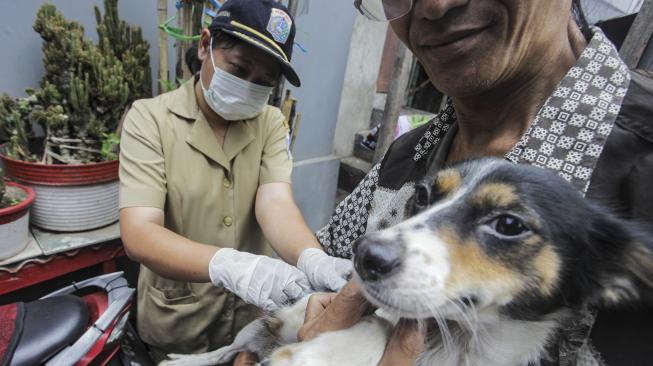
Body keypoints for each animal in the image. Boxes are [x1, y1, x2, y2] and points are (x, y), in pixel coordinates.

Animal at [162, 159, 652, 366]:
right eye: (423, 195)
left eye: (509, 224)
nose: (365, 255)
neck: (457, 339)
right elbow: (380, 322)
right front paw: (329, 352)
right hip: (255, 328)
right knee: (224, 350)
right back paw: (183, 361)